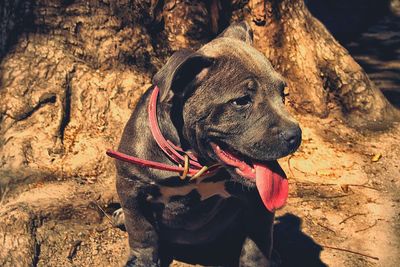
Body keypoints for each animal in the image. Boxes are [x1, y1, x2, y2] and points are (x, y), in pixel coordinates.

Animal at [111, 21, 300, 267]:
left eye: (283, 94)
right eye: (241, 101)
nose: (296, 135)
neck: (193, 161)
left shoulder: (259, 201)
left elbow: (257, 243)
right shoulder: (131, 186)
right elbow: (141, 230)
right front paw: (141, 260)